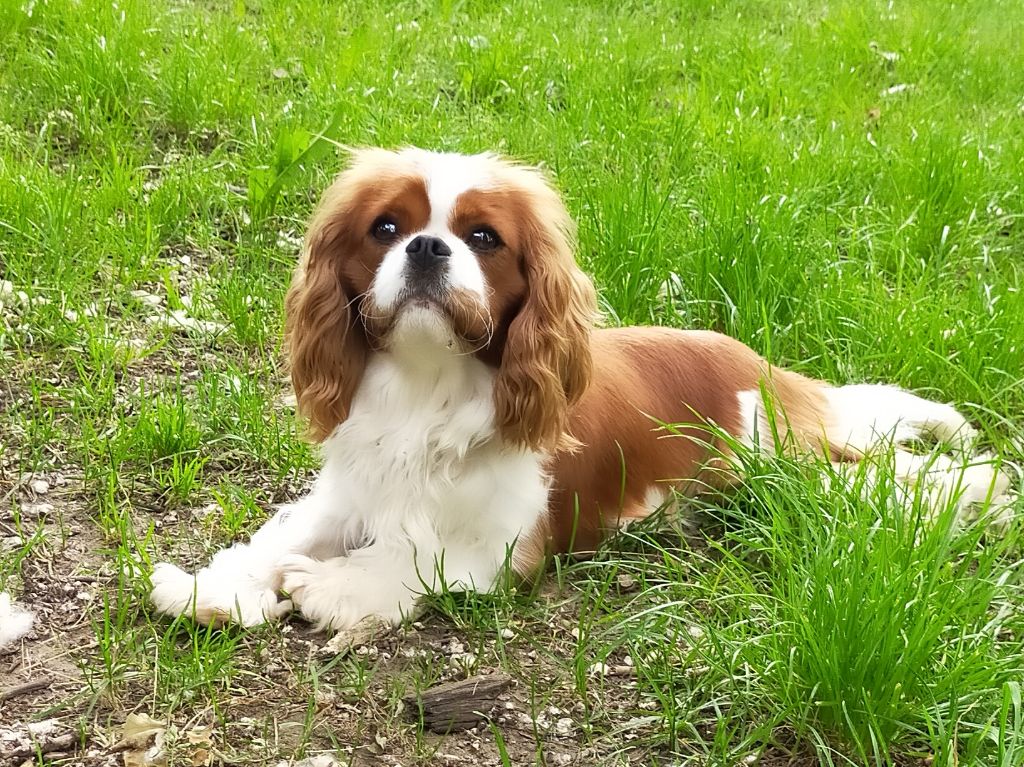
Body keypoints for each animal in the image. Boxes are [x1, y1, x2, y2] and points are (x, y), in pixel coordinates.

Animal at [146, 146, 1015, 630]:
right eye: (385, 229)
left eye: (484, 238)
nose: (427, 247)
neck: (427, 384)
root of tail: (757, 365)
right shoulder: (348, 494)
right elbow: (279, 536)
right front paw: (214, 585)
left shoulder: (504, 543)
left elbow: (414, 556)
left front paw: (331, 586)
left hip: (786, 465)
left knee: (904, 477)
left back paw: (983, 489)